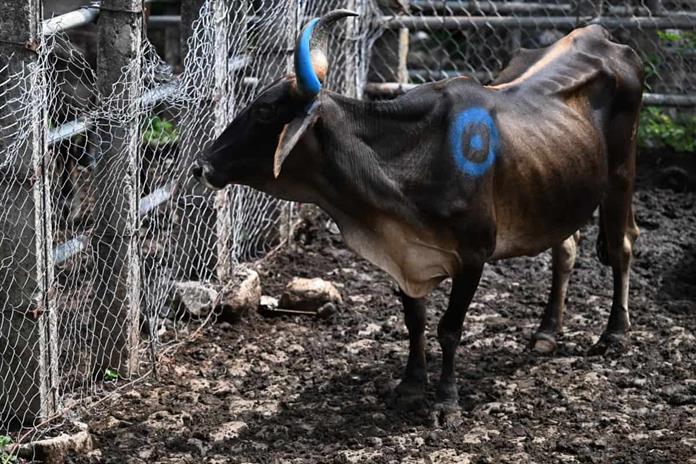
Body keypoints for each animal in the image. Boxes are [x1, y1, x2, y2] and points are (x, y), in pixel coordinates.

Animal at [191, 10, 643, 422]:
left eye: (264, 110)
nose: (202, 165)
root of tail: (598, 33)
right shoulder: (404, 254)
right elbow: (415, 320)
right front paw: (410, 385)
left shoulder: (473, 256)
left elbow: (449, 327)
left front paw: (446, 402)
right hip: (557, 192)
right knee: (565, 249)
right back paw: (547, 332)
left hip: (621, 174)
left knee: (622, 247)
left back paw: (614, 335)